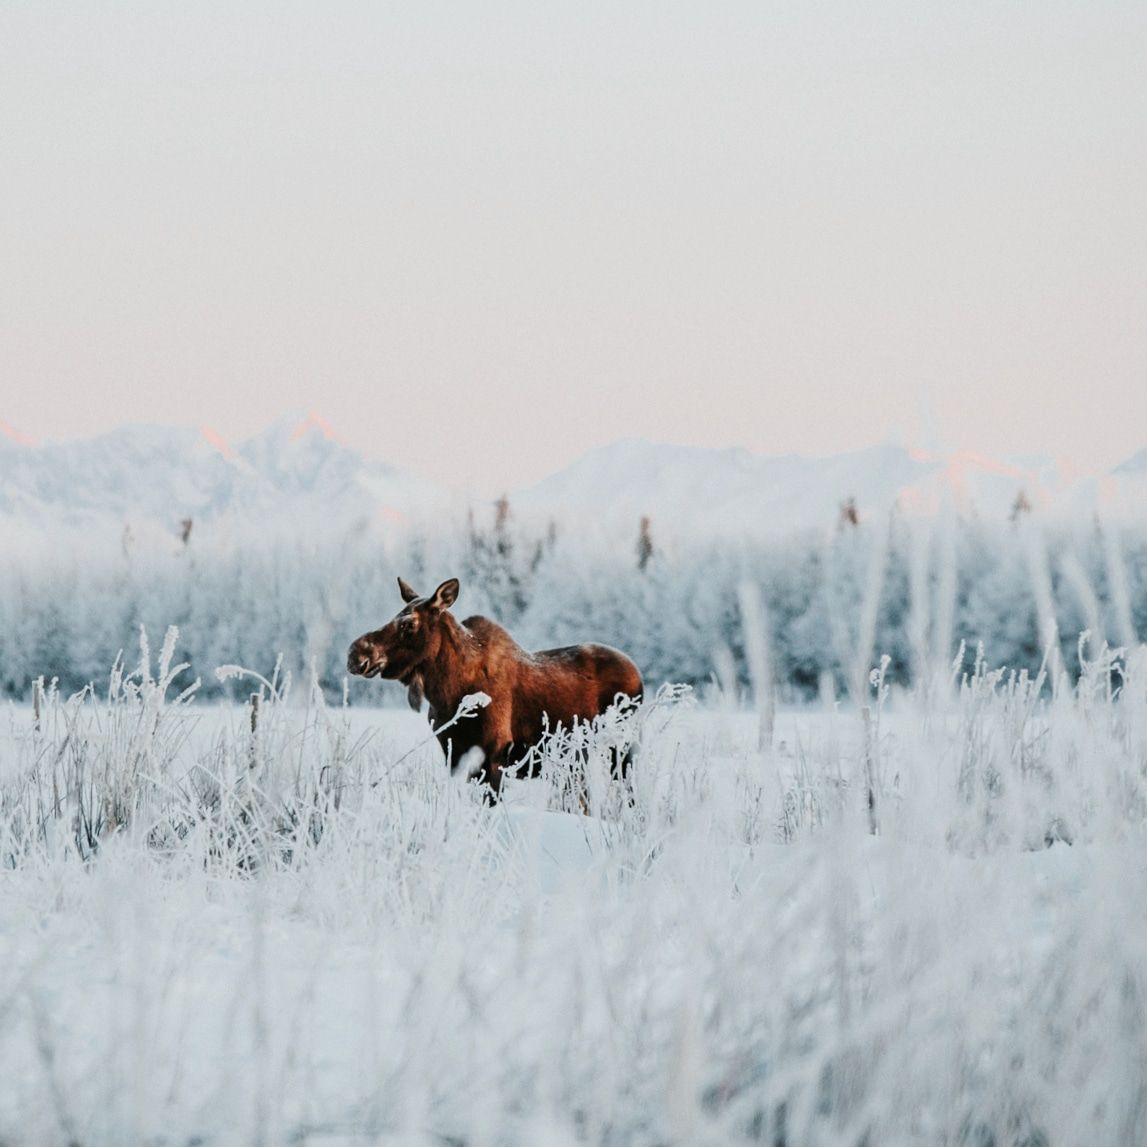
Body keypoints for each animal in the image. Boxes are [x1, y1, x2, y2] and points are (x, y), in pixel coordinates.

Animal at [347, 577, 643, 801]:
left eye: (408, 623)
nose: (355, 654)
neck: (448, 695)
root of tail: (637, 673)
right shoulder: (454, 754)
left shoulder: (494, 754)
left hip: (623, 749)